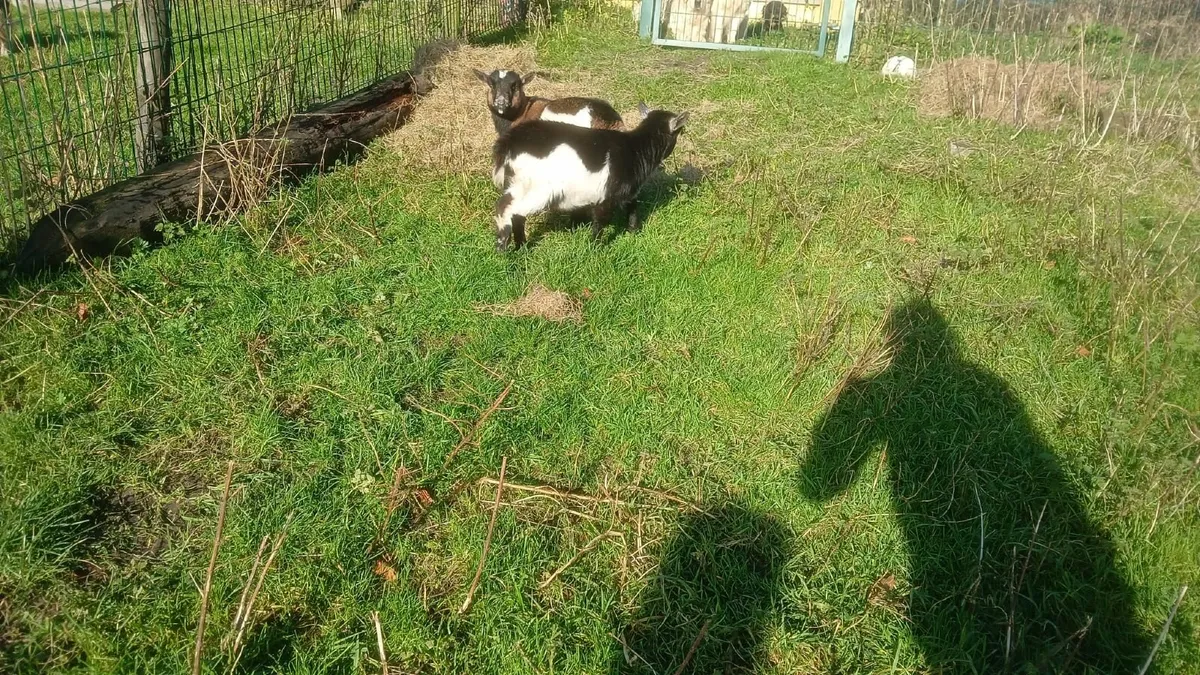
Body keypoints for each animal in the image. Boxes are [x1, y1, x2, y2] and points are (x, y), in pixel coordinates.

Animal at [491, 103, 688, 252]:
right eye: (680, 130)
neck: (635, 149)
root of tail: (510, 141)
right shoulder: (608, 195)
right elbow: (601, 220)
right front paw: (595, 247)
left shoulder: (628, 191)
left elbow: (633, 207)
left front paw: (633, 231)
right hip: (537, 188)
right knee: (507, 208)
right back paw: (504, 244)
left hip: (518, 183)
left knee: (517, 214)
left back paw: (521, 247)